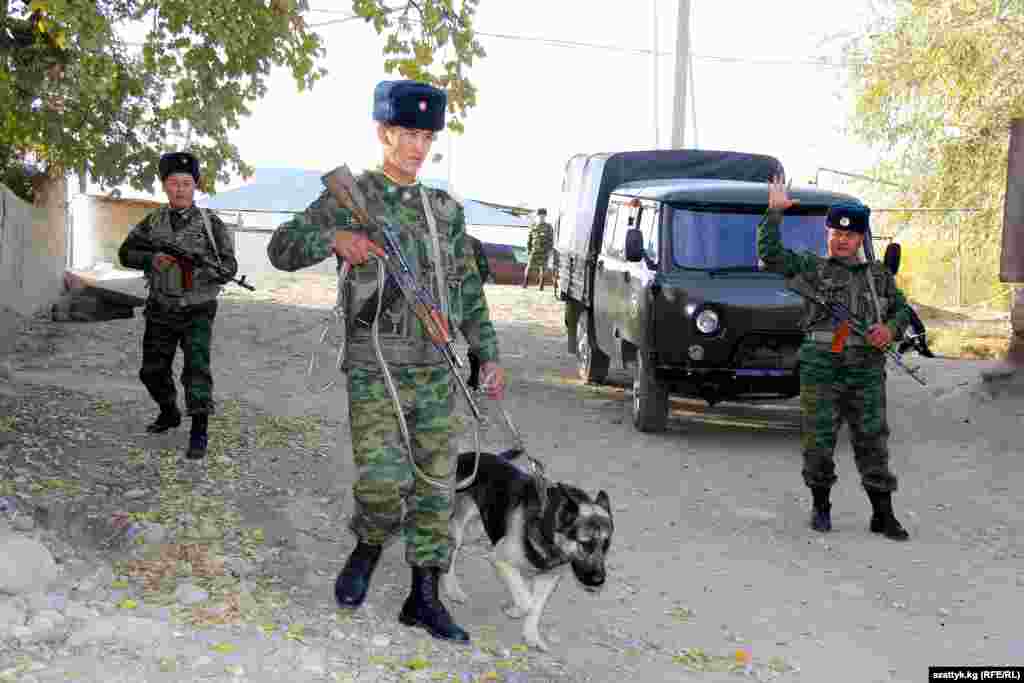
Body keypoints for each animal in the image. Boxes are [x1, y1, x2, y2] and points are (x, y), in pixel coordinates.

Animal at [442, 448, 614, 651]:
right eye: (585, 543)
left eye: (606, 544)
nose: (599, 581)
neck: (547, 524)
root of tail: (463, 456)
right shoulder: (500, 559)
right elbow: (527, 601)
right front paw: (517, 610)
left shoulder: (548, 579)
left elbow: (536, 606)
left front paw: (531, 635)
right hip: (456, 531)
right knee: (449, 556)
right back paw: (452, 589)